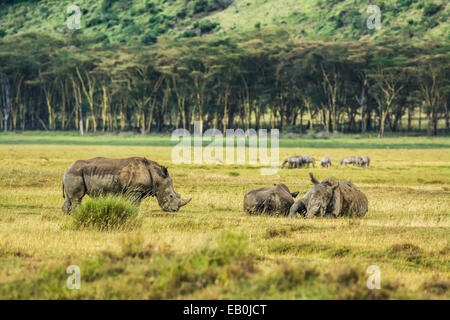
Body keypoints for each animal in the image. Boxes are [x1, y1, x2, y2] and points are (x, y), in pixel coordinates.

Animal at [62, 157, 192, 214]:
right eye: (171, 196)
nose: (175, 210)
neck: (157, 176)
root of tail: (67, 169)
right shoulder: (135, 189)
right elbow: (133, 203)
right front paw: (132, 213)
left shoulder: (139, 190)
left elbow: (136, 203)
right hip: (75, 173)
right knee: (77, 198)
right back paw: (76, 214)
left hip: (72, 173)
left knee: (69, 198)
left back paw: (67, 215)